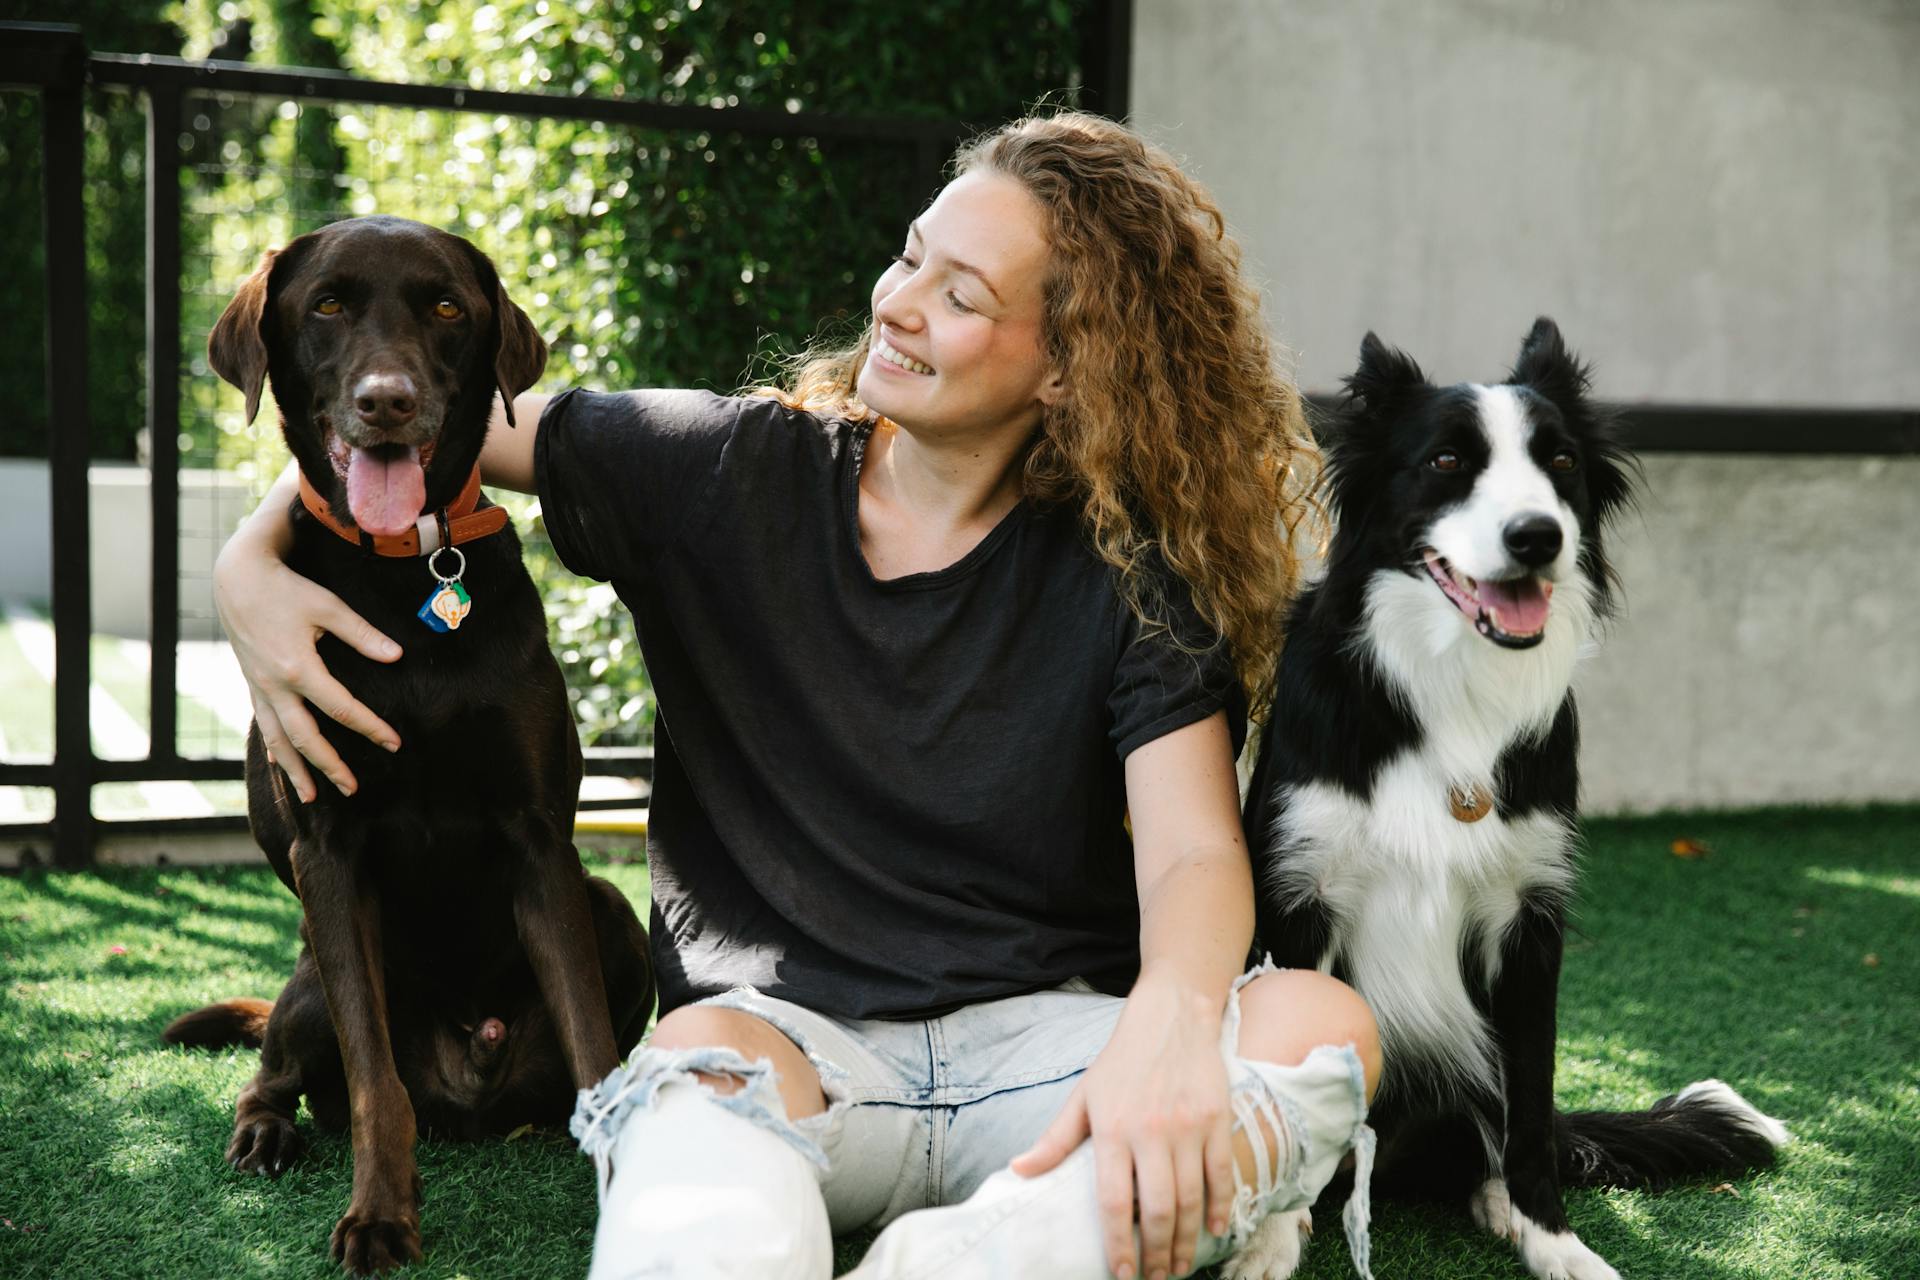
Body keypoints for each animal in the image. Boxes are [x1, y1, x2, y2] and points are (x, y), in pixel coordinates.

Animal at [172, 217, 652, 1274]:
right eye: (325, 305)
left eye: (444, 308)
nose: (385, 402)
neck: (407, 576)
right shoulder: (329, 847)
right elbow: (371, 1081)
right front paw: (381, 1215)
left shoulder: (540, 843)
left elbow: (596, 1050)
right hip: (311, 977)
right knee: (275, 1074)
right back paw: (266, 1136)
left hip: (611, 911)